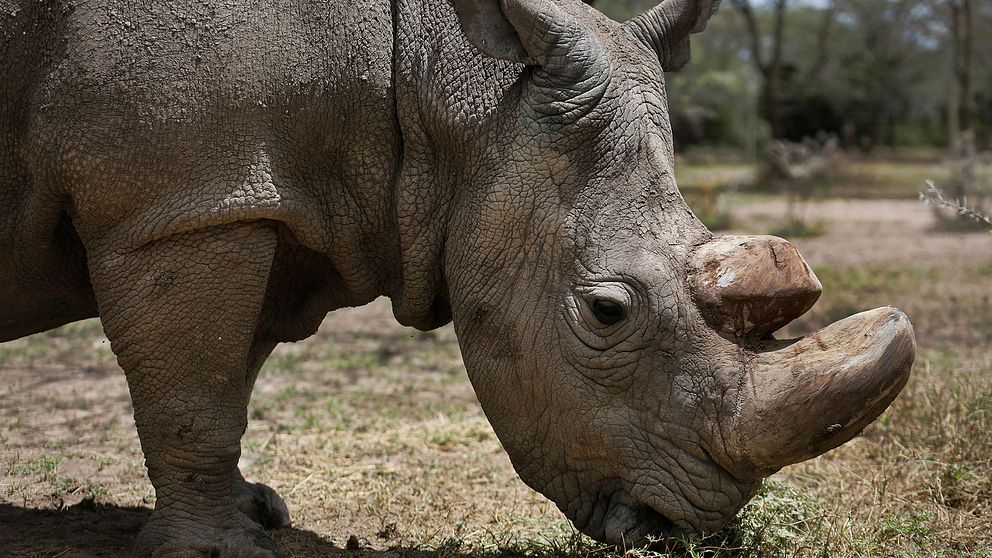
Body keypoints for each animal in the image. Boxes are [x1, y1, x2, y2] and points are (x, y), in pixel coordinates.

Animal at [0, 0, 916, 556]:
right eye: (606, 312)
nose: (688, 532)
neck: (434, 84)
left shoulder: (246, 198)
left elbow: (227, 374)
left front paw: (256, 511)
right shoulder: (181, 204)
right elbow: (195, 391)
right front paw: (213, 550)